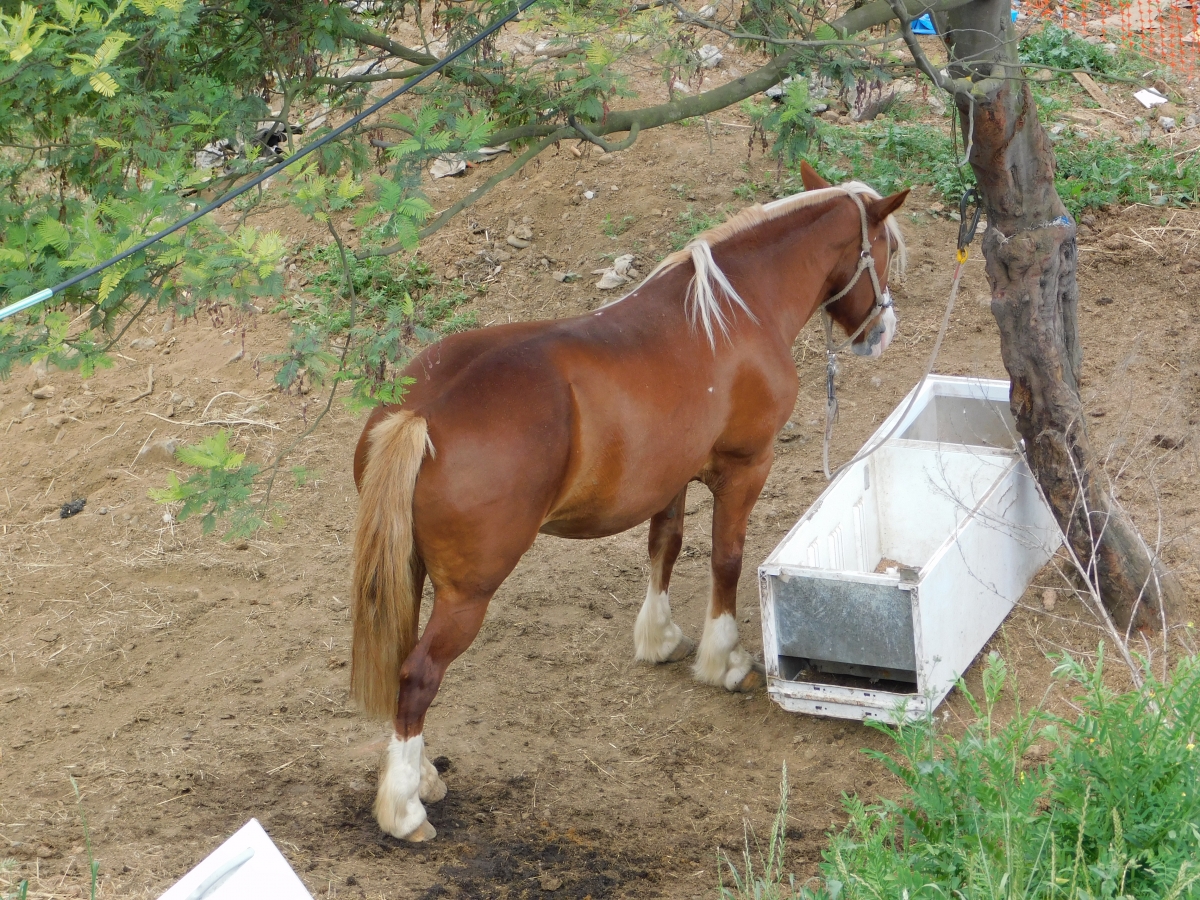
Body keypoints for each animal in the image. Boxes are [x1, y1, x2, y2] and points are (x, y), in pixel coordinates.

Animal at [348, 164, 907, 844]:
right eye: (884, 248)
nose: (881, 332)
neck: (738, 310)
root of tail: (420, 411)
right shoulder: (745, 467)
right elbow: (725, 559)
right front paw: (724, 658)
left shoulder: (672, 477)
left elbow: (664, 547)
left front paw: (660, 638)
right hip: (467, 594)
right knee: (418, 676)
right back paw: (405, 809)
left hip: (410, 574)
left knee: (403, 669)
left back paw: (421, 775)